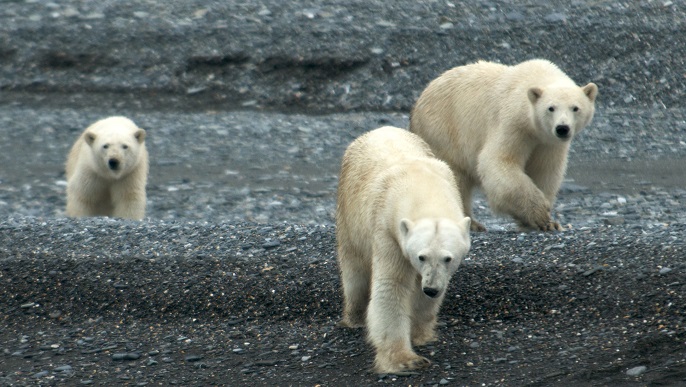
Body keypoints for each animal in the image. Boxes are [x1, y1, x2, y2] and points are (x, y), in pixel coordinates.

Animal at [338, 126, 472, 374]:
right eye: (421, 256)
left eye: (448, 258)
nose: (431, 289)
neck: (422, 185)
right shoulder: (387, 230)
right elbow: (393, 285)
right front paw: (405, 359)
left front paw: (421, 334)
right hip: (348, 214)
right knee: (354, 272)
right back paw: (354, 317)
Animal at [412, 59, 600, 232]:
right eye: (551, 108)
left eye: (575, 108)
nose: (562, 128)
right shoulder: (512, 122)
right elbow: (498, 161)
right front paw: (539, 215)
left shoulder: (548, 143)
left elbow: (544, 171)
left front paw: (549, 222)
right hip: (443, 132)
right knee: (455, 175)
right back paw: (472, 223)